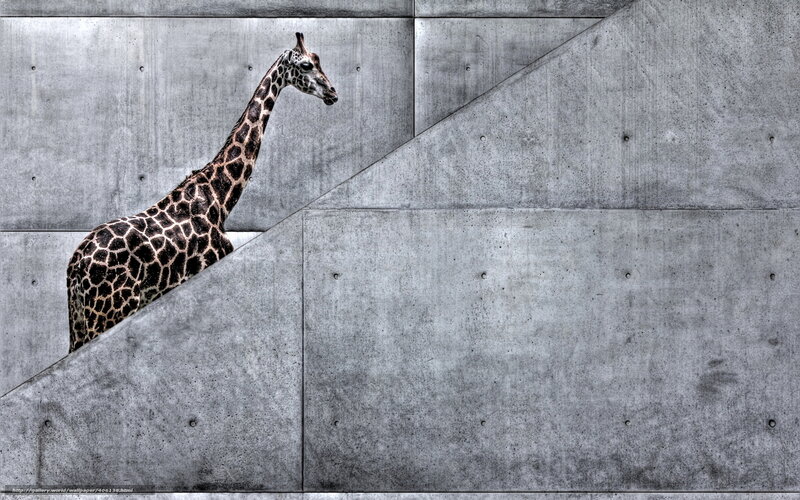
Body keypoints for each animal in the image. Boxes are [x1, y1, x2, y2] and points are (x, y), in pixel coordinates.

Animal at [67, 32, 337, 352]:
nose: (332, 93)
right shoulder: (211, 263)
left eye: (318, 60)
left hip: (82, 322)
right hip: (110, 311)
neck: (221, 197)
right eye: (306, 64)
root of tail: (76, 266)